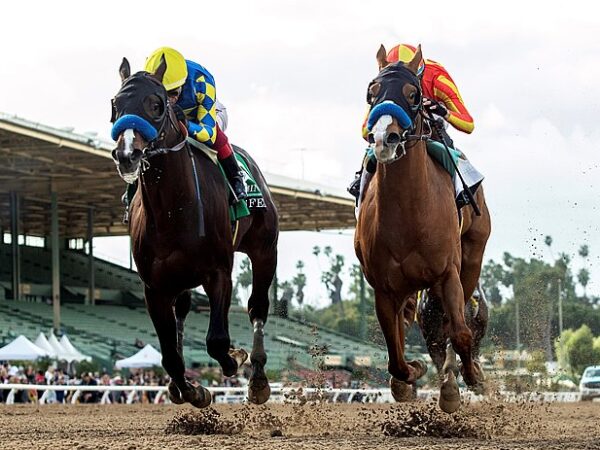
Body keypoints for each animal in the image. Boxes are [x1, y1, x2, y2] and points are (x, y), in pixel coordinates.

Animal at [110, 56, 278, 408]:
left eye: (156, 104)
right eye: (115, 104)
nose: (127, 154)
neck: (173, 210)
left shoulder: (219, 273)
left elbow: (217, 340)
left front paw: (235, 357)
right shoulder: (154, 288)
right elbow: (169, 355)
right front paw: (191, 390)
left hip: (265, 249)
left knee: (257, 306)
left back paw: (257, 379)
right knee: (183, 312)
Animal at [354, 44, 490, 414]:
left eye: (414, 94)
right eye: (372, 92)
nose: (384, 139)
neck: (409, 214)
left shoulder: (447, 273)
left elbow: (461, 332)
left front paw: (466, 378)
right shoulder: (384, 288)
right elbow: (395, 356)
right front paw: (412, 375)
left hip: (472, 255)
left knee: (452, 321)